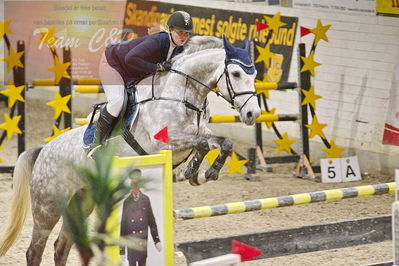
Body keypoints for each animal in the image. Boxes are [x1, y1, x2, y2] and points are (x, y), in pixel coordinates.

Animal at [0, 36, 262, 264]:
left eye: (255, 75)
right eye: (236, 73)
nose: (253, 114)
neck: (182, 95)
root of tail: (42, 150)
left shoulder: (199, 133)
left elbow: (222, 142)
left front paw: (205, 172)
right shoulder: (166, 143)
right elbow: (203, 144)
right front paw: (193, 171)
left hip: (81, 202)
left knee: (61, 247)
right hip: (47, 207)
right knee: (35, 250)